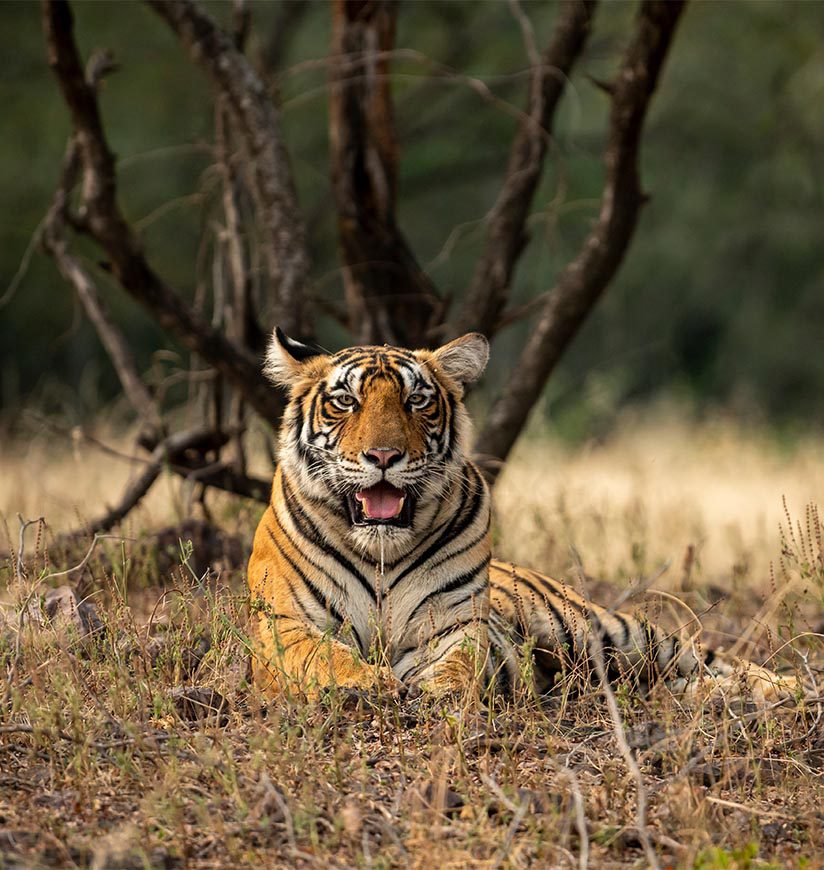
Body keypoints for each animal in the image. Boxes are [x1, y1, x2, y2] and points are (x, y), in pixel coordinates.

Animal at [245, 330, 800, 704]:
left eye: (416, 401)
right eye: (345, 401)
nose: (384, 456)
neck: (381, 549)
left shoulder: (455, 624)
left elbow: (458, 665)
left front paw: (440, 693)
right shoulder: (285, 624)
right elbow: (324, 655)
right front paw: (367, 684)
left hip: (608, 632)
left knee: (706, 655)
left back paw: (782, 688)